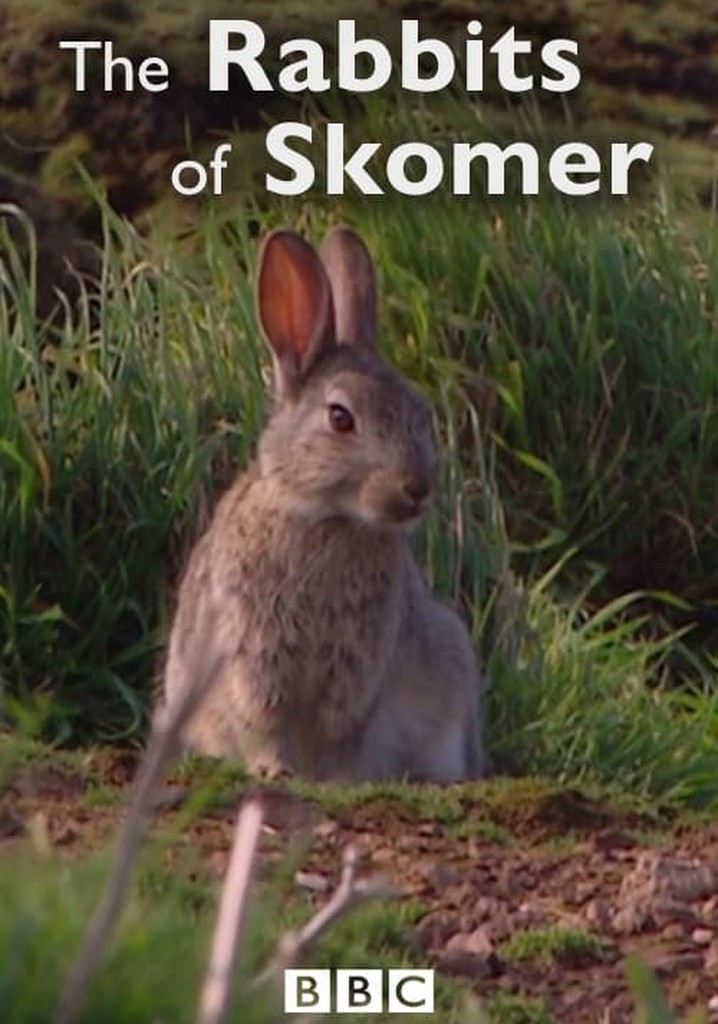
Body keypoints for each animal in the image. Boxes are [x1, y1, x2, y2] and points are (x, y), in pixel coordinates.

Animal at [161, 225, 485, 782]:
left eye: (421, 412)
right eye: (339, 418)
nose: (417, 487)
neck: (329, 519)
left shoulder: (357, 667)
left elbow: (341, 732)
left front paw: (335, 780)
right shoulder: (254, 652)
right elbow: (265, 720)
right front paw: (275, 771)